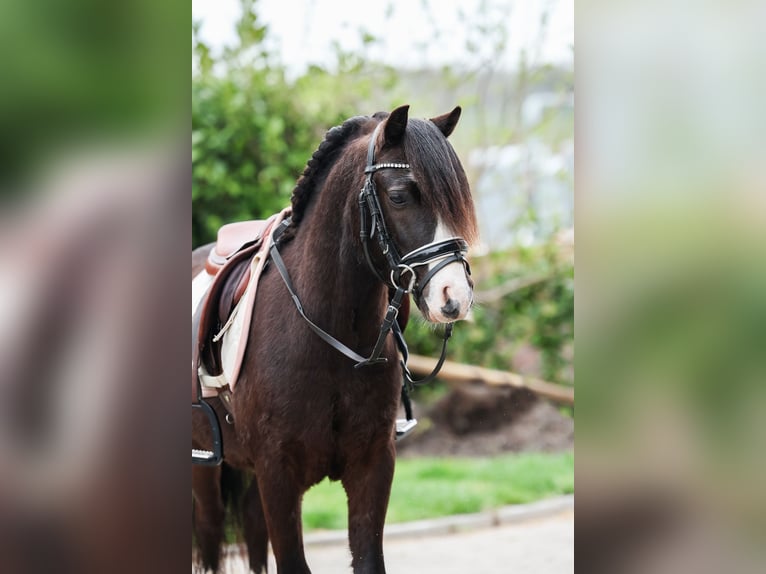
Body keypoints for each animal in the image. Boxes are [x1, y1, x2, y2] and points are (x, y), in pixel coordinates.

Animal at [192, 104, 478, 573]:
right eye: (399, 196)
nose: (454, 297)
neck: (330, 336)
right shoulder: (277, 473)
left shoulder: (372, 466)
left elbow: (368, 558)